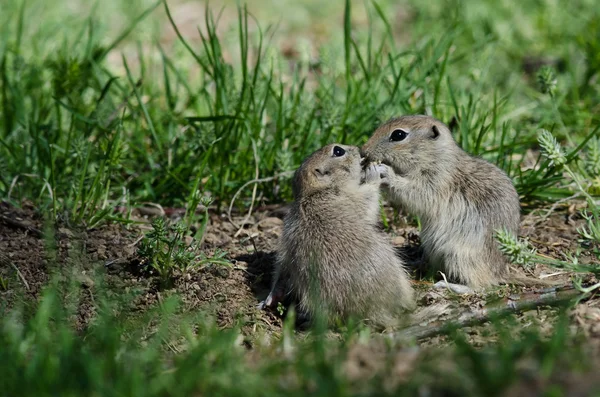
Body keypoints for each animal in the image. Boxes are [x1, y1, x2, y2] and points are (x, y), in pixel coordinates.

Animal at [260, 144, 414, 326]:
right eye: (338, 151)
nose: (358, 149)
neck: (314, 191)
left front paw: (269, 299)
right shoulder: (353, 197)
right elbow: (368, 197)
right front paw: (373, 172)